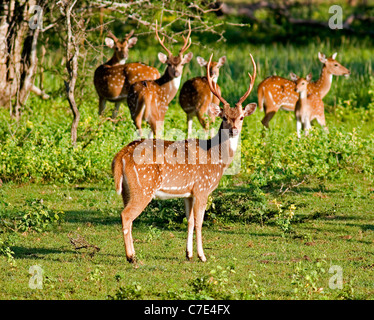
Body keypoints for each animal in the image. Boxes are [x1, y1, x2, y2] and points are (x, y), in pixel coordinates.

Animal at [111, 53, 258, 264]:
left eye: (241, 117)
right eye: (224, 117)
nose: (233, 130)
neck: (217, 159)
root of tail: (121, 154)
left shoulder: (188, 193)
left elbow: (188, 221)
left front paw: (188, 254)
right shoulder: (202, 188)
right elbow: (199, 222)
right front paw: (202, 255)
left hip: (127, 190)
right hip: (143, 188)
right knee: (126, 215)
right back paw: (131, 257)